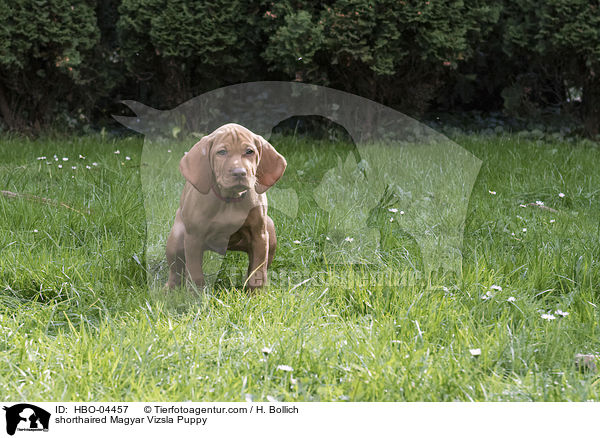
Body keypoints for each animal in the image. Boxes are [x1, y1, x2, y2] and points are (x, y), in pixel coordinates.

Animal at [164, 123, 286, 290]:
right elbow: (195, 275)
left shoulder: (259, 236)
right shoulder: (194, 238)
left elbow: (257, 273)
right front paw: (196, 296)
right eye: (221, 152)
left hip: (270, 230)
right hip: (176, 239)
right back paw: (169, 289)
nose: (239, 173)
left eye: (249, 151)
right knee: (175, 271)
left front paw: (255, 295)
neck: (230, 200)